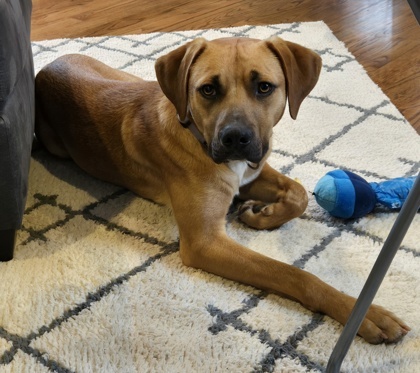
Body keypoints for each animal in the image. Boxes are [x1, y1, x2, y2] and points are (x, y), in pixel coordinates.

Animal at [34, 37, 408, 342]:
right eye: (208, 89)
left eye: (264, 87)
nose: (235, 138)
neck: (196, 135)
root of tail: (49, 66)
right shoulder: (205, 242)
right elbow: (292, 273)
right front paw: (361, 313)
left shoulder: (252, 171)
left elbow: (299, 194)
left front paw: (262, 214)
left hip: (133, 79)